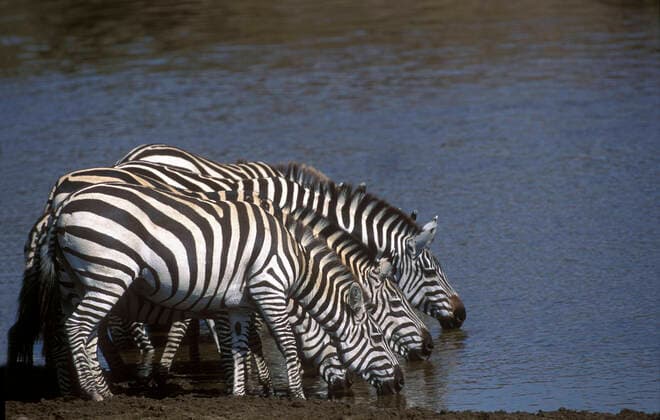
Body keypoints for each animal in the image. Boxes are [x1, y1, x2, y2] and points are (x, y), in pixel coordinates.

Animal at [34, 182, 402, 400]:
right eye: (378, 338)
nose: (400, 382)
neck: (295, 259)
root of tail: (61, 209)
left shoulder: (239, 303)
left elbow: (238, 347)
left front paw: (239, 394)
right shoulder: (269, 290)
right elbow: (285, 342)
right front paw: (297, 394)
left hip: (76, 281)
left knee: (79, 331)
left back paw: (92, 388)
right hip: (109, 275)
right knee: (77, 327)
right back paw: (94, 392)